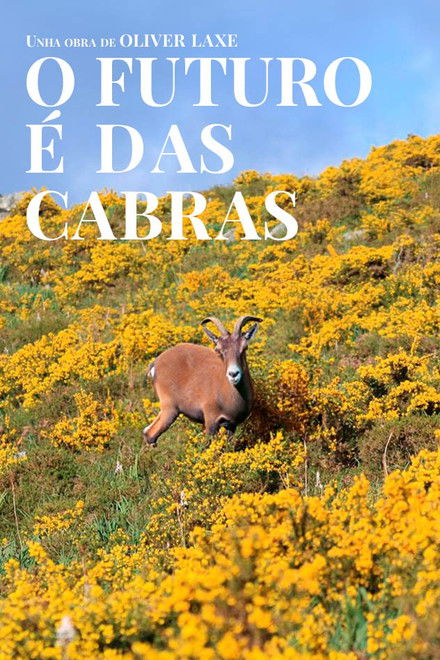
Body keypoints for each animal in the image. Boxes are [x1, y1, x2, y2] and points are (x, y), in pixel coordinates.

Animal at [142, 315, 262, 446]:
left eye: (244, 348)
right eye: (218, 350)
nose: (233, 374)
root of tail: (155, 363)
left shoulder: (231, 425)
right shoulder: (211, 421)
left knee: (148, 432)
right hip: (169, 409)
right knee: (151, 434)